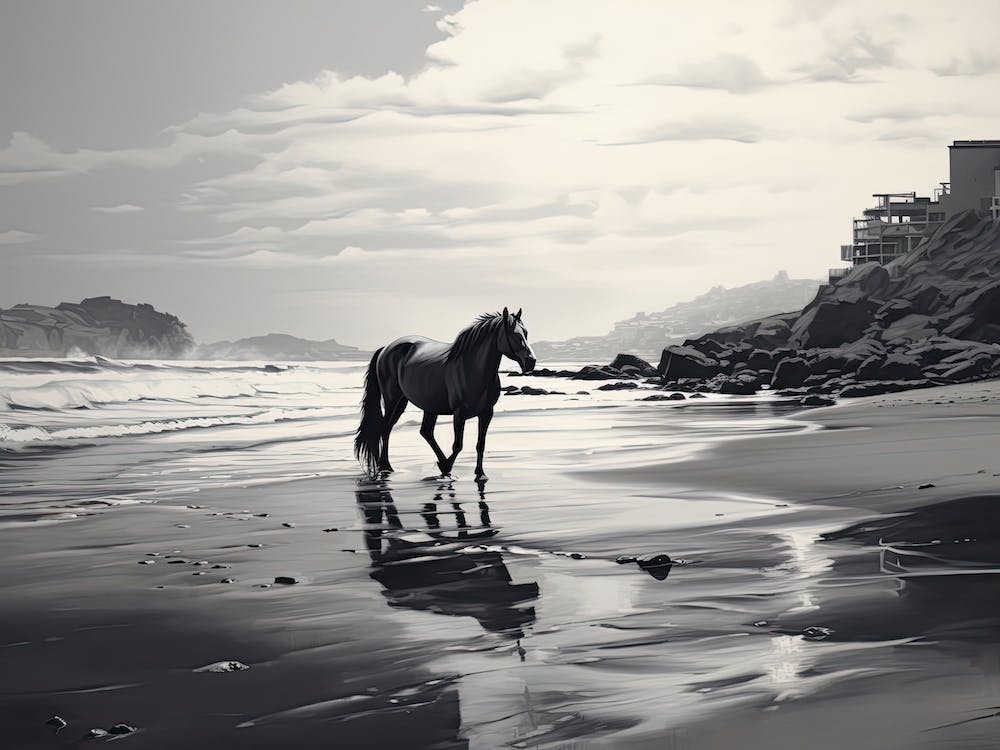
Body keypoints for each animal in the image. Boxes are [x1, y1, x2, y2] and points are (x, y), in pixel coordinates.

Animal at [354, 307, 536, 481]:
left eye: (526, 333)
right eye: (514, 334)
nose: (531, 362)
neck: (472, 369)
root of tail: (385, 349)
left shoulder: (486, 413)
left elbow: (480, 444)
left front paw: (480, 473)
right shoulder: (459, 414)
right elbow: (458, 445)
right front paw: (447, 466)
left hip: (425, 405)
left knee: (424, 431)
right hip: (394, 400)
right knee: (385, 429)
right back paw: (386, 467)